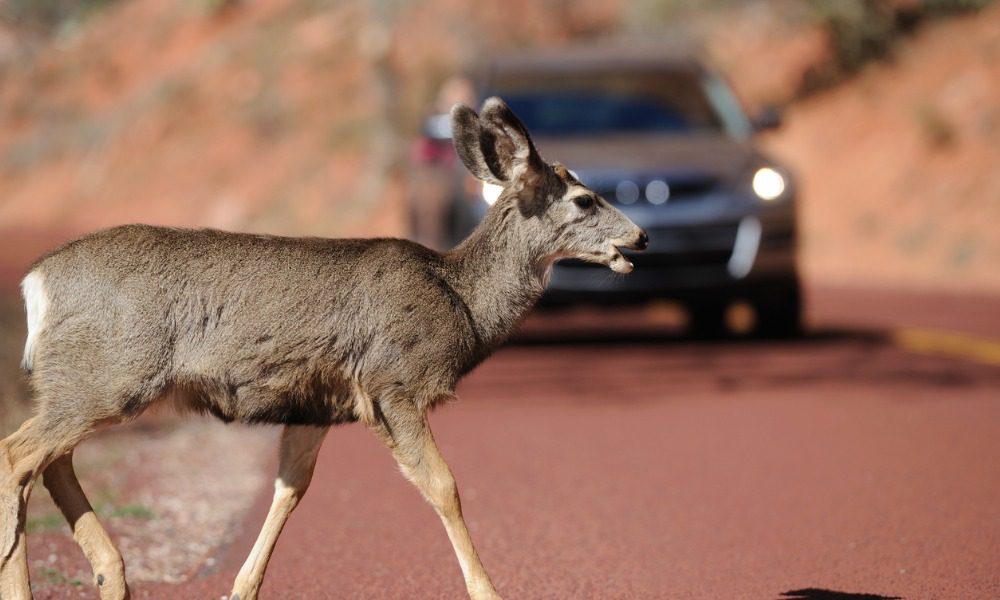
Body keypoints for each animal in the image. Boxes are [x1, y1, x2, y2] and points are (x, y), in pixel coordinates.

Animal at [0, 98, 648, 600]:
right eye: (585, 200)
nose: (640, 236)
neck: (460, 300)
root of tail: (36, 282)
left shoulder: (316, 404)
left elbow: (290, 489)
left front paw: (241, 589)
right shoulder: (393, 382)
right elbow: (445, 487)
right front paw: (488, 590)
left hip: (86, 381)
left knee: (50, 461)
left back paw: (111, 574)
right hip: (109, 374)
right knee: (17, 453)